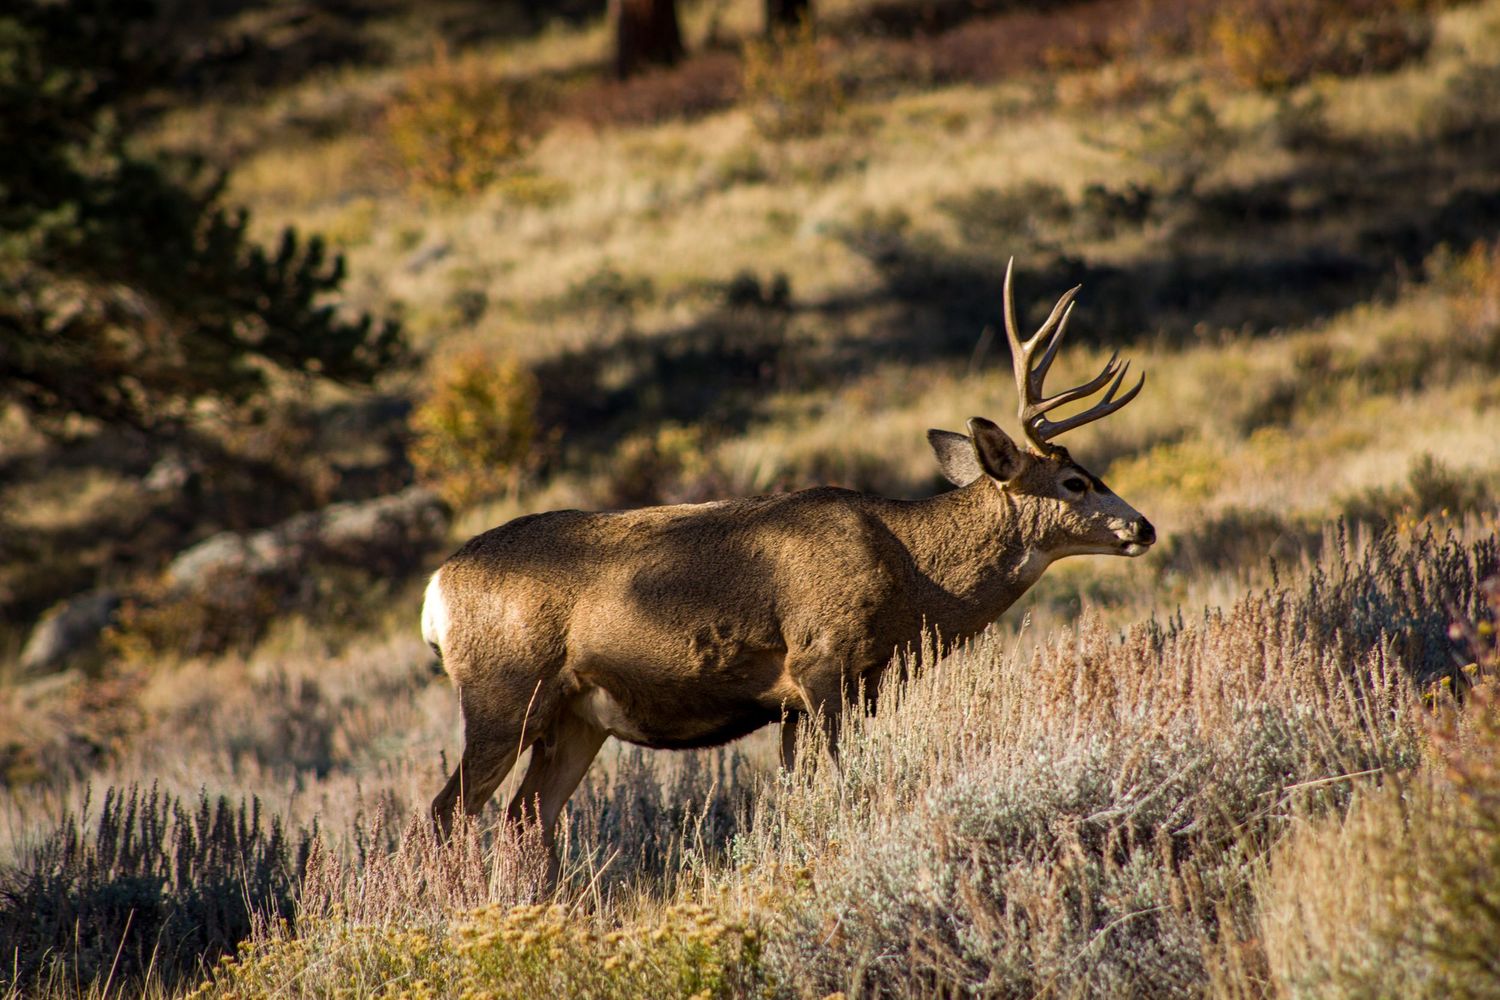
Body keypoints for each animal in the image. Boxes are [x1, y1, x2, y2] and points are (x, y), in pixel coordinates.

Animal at [423, 261, 1155, 873]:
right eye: (1075, 483)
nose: (1143, 527)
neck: (912, 573)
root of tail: (436, 591)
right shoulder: (822, 658)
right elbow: (839, 784)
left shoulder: (816, 695)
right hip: (502, 689)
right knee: (445, 813)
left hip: (577, 715)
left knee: (526, 818)